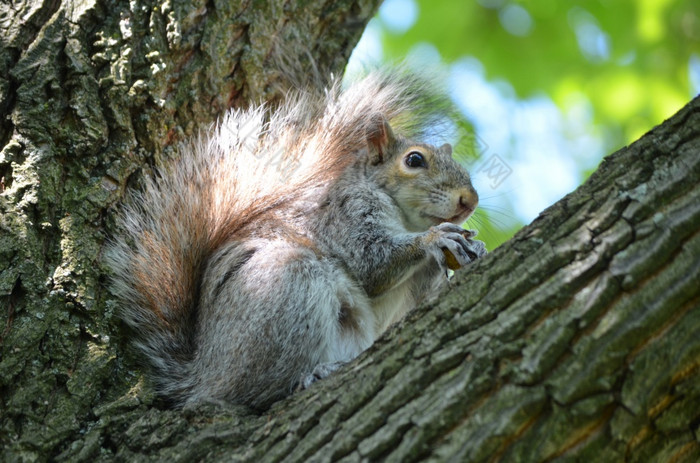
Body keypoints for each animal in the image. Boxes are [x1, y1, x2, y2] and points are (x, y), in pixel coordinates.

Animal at [106, 72, 486, 410]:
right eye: (414, 160)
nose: (470, 200)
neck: (406, 219)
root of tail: (202, 375)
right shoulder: (346, 214)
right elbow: (372, 265)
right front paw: (435, 239)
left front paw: (472, 248)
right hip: (286, 290)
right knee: (253, 393)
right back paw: (310, 376)